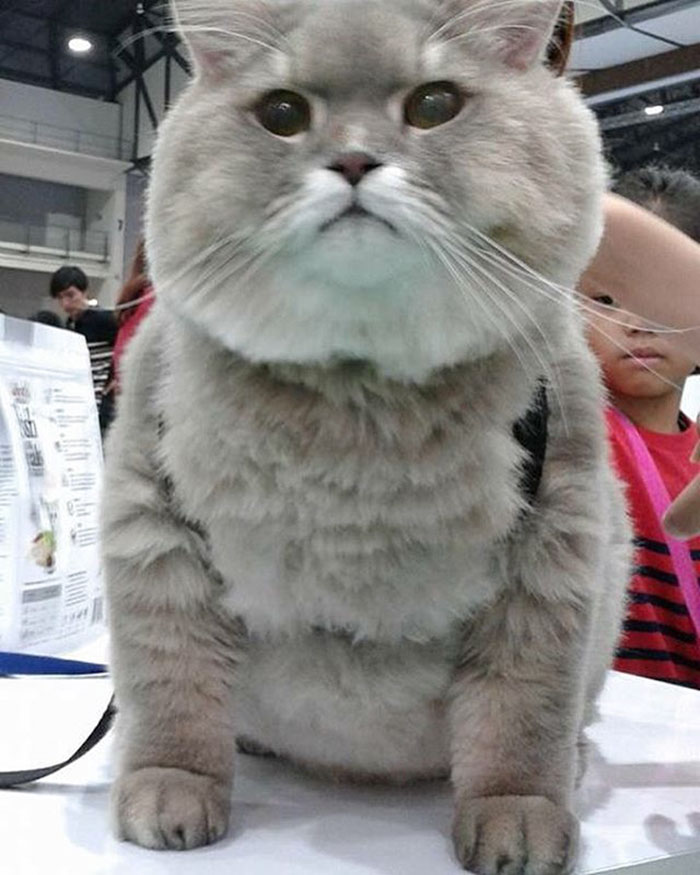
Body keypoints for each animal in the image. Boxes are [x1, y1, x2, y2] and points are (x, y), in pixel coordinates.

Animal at [105, 1, 636, 875]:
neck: (358, 397)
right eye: (283, 115)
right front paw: (171, 792)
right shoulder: (154, 532)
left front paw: (519, 817)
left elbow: (522, 720)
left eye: (434, 105)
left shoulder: (554, 553)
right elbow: (169, 690)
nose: (354, 160)